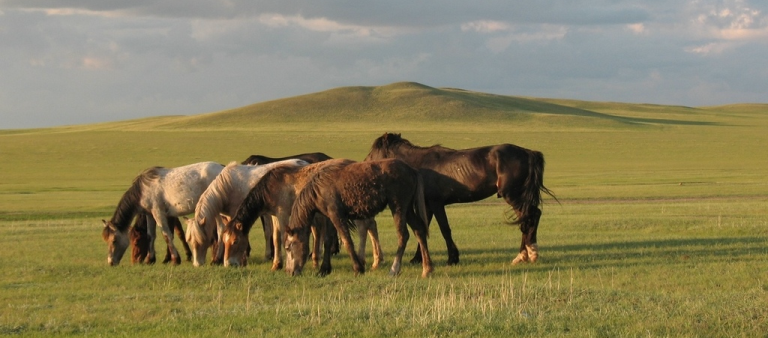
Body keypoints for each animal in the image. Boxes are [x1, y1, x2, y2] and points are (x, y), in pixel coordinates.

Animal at [220, 160, 382, 274]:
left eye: (235, 241)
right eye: (224, 241)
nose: (228, 264)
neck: (271, 186)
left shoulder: (283, 214)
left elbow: (283, 238)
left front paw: (283, 264)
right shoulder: (274, 216)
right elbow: (275, 238)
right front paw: (276, 264)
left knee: (366, 227)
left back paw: (367, 260)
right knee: (370, 226)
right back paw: (376, 261)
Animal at [284, 158, 436, 278]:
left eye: (288, 247)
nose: (289, 272)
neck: (319, 189)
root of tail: (412, 170)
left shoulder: (337, 215)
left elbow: (347, 241)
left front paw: (358, 268)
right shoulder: (330, 218)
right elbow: (327, 241)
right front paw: (324, 270)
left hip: (398, 207)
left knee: (403, 235)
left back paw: (394, 269)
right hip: (408, 209)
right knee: (419, 230)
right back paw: (427, 269)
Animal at [364, 133, 556, 266]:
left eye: (373, 150)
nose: (364, 161)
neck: (421, 164)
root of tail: (528, 153)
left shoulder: (436, 203)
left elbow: (445, 229)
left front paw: (452, 258)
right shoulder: (428, 205)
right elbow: (423, 228)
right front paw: (418, 258)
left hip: (514, 196)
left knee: (529, 219)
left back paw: (528, 254)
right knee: (531, 218)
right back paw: (525, 255)